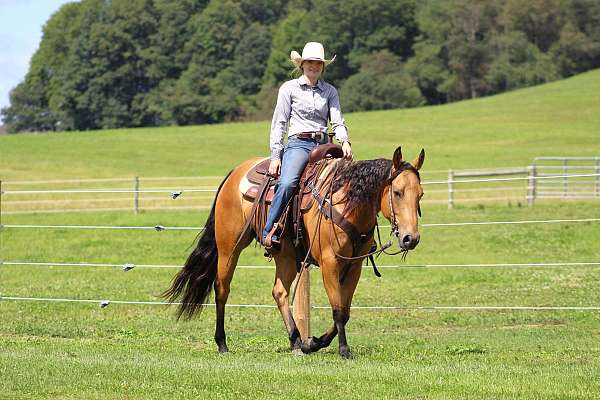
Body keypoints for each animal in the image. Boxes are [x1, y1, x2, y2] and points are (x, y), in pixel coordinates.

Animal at [162, 145, 424, 358]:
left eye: (420, 195)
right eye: (397, 192)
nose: (411, 238)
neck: (345, 203)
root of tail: (235, 172)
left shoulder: (353, 265)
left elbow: (345, 310)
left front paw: (313, 342)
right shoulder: (329, 262)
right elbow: (338, 310)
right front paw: (343, 350)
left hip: (285, 254)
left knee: (279, 291)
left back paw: (296, 341)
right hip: (229, 248)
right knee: (222, 290)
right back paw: (222, 343)